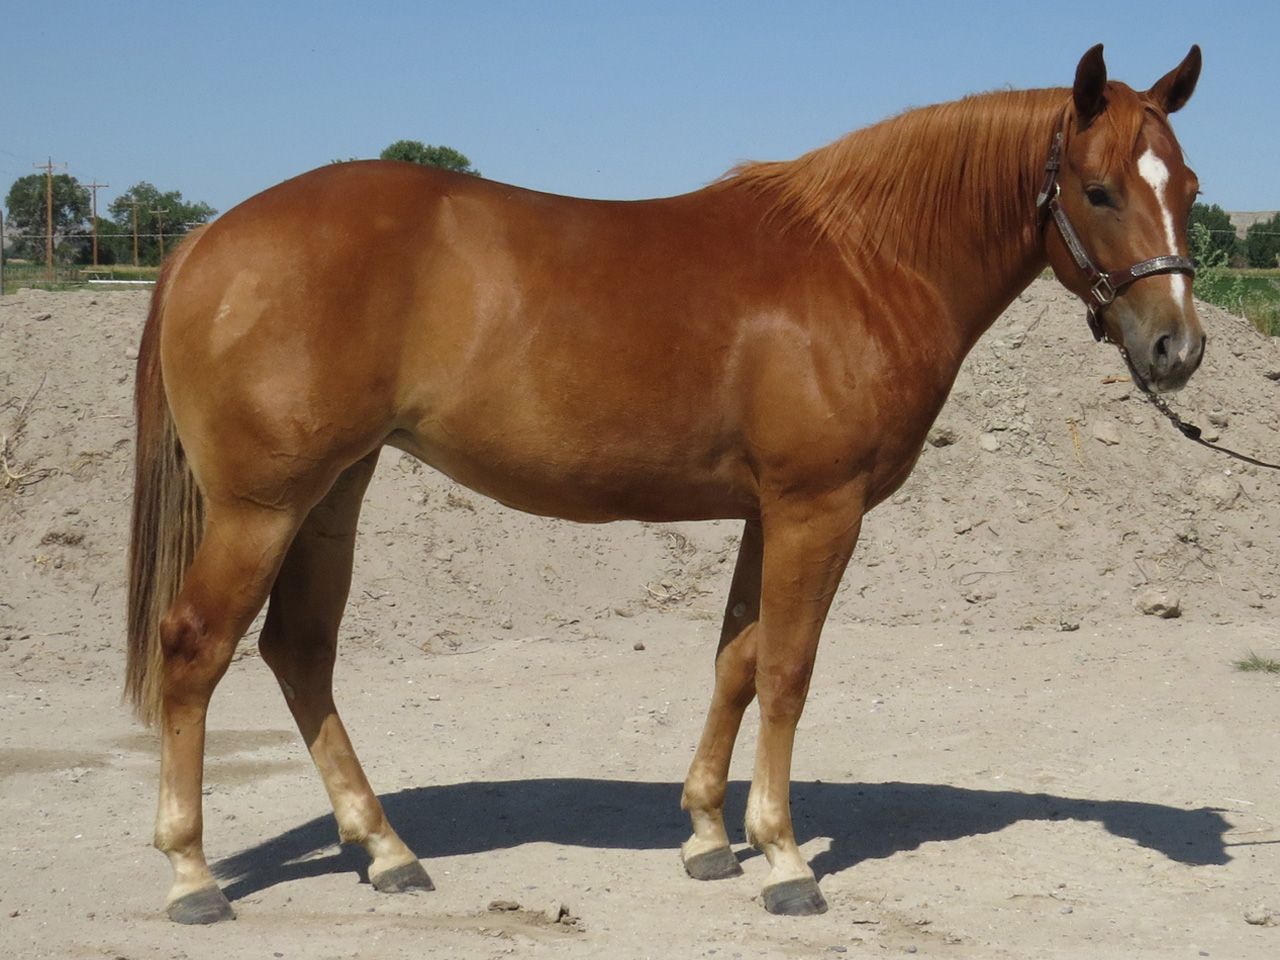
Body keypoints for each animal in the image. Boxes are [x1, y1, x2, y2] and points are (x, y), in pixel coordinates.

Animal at [126, 44, 1205, 923]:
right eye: (1099, 190)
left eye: (1188, 186)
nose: (1176, 348)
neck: (863, 262)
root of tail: (202, 242)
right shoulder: (818, 508)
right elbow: (787, 669)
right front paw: (782, 858)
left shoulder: (767, 513)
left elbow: (735, 661)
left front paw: (707, 838)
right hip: (262, 509)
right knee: (195, 648)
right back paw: (191, 876)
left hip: (331, 497)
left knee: (299, 650)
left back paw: (386, 852)